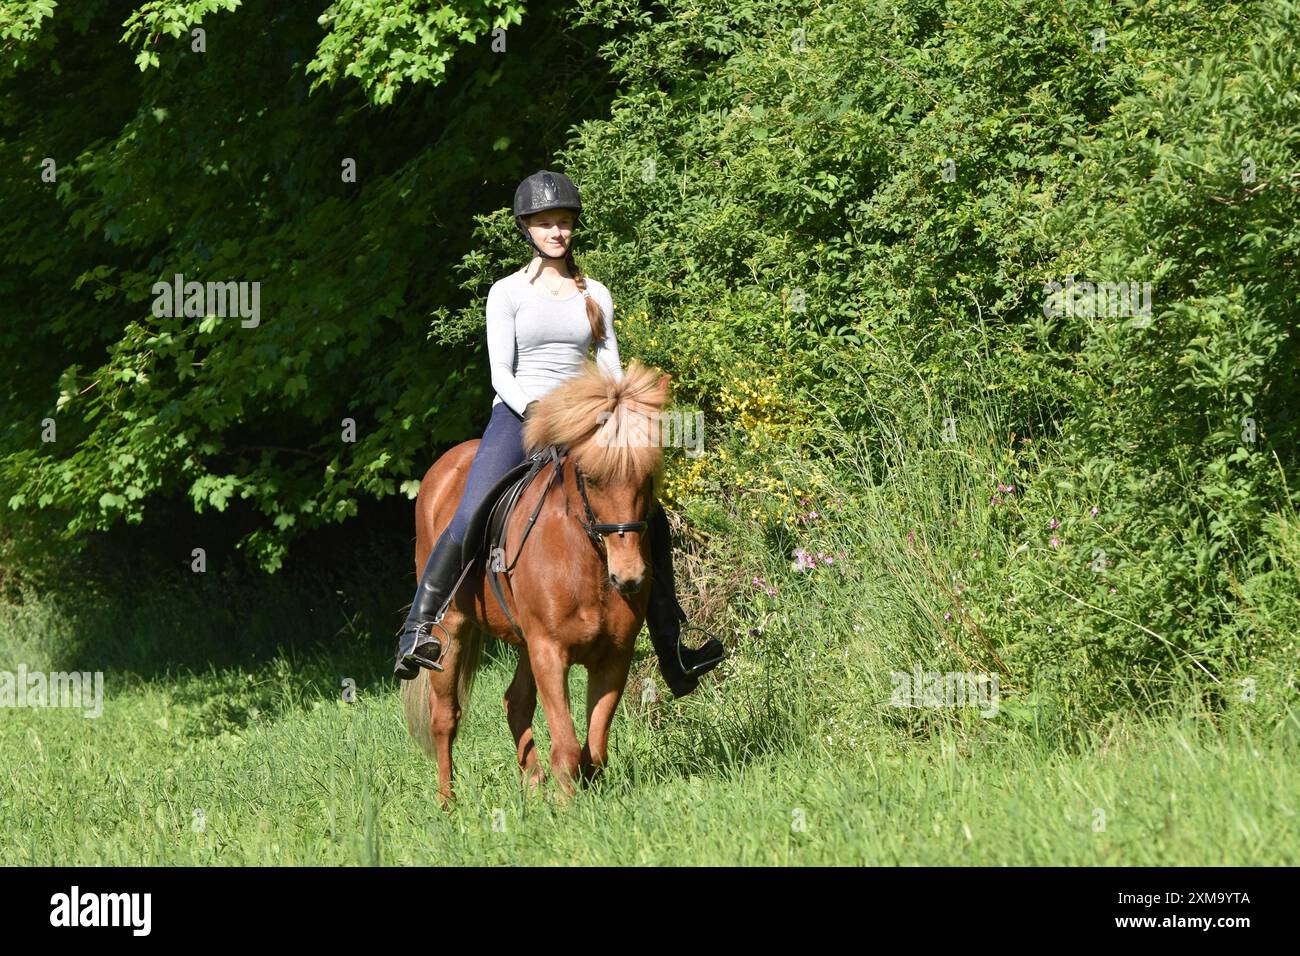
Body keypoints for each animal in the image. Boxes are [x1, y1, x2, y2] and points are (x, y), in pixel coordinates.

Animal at [400, 356, 670, 801]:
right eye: (590, 477)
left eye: (646, 477)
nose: (628, 577)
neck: (585, 561)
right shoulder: (549, 651)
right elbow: (567, 745)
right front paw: (566, 806)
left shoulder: (614, 656)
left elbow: (594, 748)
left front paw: (576, 795)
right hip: (451, 630)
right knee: (445, 717)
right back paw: (447, 803)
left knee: (516, 703)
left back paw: (532, 786)